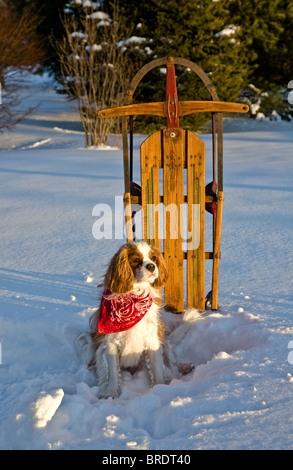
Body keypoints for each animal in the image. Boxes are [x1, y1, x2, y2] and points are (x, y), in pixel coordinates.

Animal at [76, 241, 197, 398]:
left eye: (153, 257)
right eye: (136, 260)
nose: (151, 266)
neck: (134, 298)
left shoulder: (152, 339)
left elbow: (158, 368)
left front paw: (161, 388)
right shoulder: (110, 343)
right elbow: (113, 373)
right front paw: (111, 393)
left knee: (170, 360)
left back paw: (184, 367)